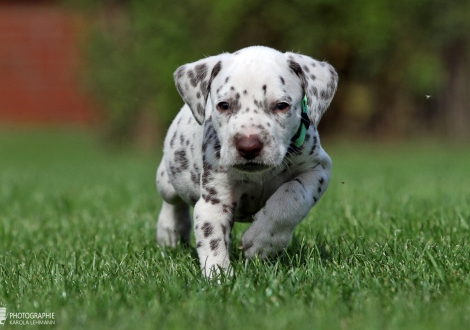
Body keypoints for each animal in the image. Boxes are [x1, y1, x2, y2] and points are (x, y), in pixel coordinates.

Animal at [158, 45, 338, 278]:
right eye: (224, 105)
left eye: (282, 105)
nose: (249, 146)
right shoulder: (214, 201)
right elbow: (212, 238)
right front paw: (219, 277)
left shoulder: (317, 168)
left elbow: (292, 197)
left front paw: (263, 241)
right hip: (168, 177)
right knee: (172, 200)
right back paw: (170, 231)